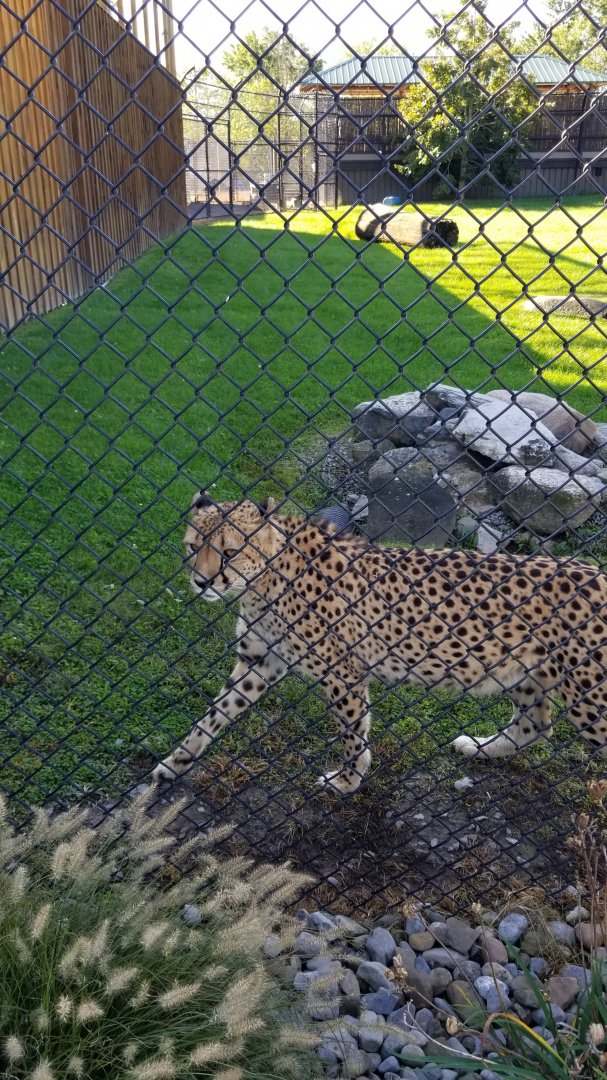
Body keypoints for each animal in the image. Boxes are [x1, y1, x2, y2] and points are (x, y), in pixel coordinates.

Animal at [151, 493, 607, 793]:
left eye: (230, 552)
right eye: (193, 547)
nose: (202, 582)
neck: (267, 575)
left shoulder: (342, 672)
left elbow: (352, 733)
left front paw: (348, 780)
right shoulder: (258, 661)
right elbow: (212, 716)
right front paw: (174, 764)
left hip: (589, 697)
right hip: (529, 673)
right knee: (536, 725)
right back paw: (479, 747)